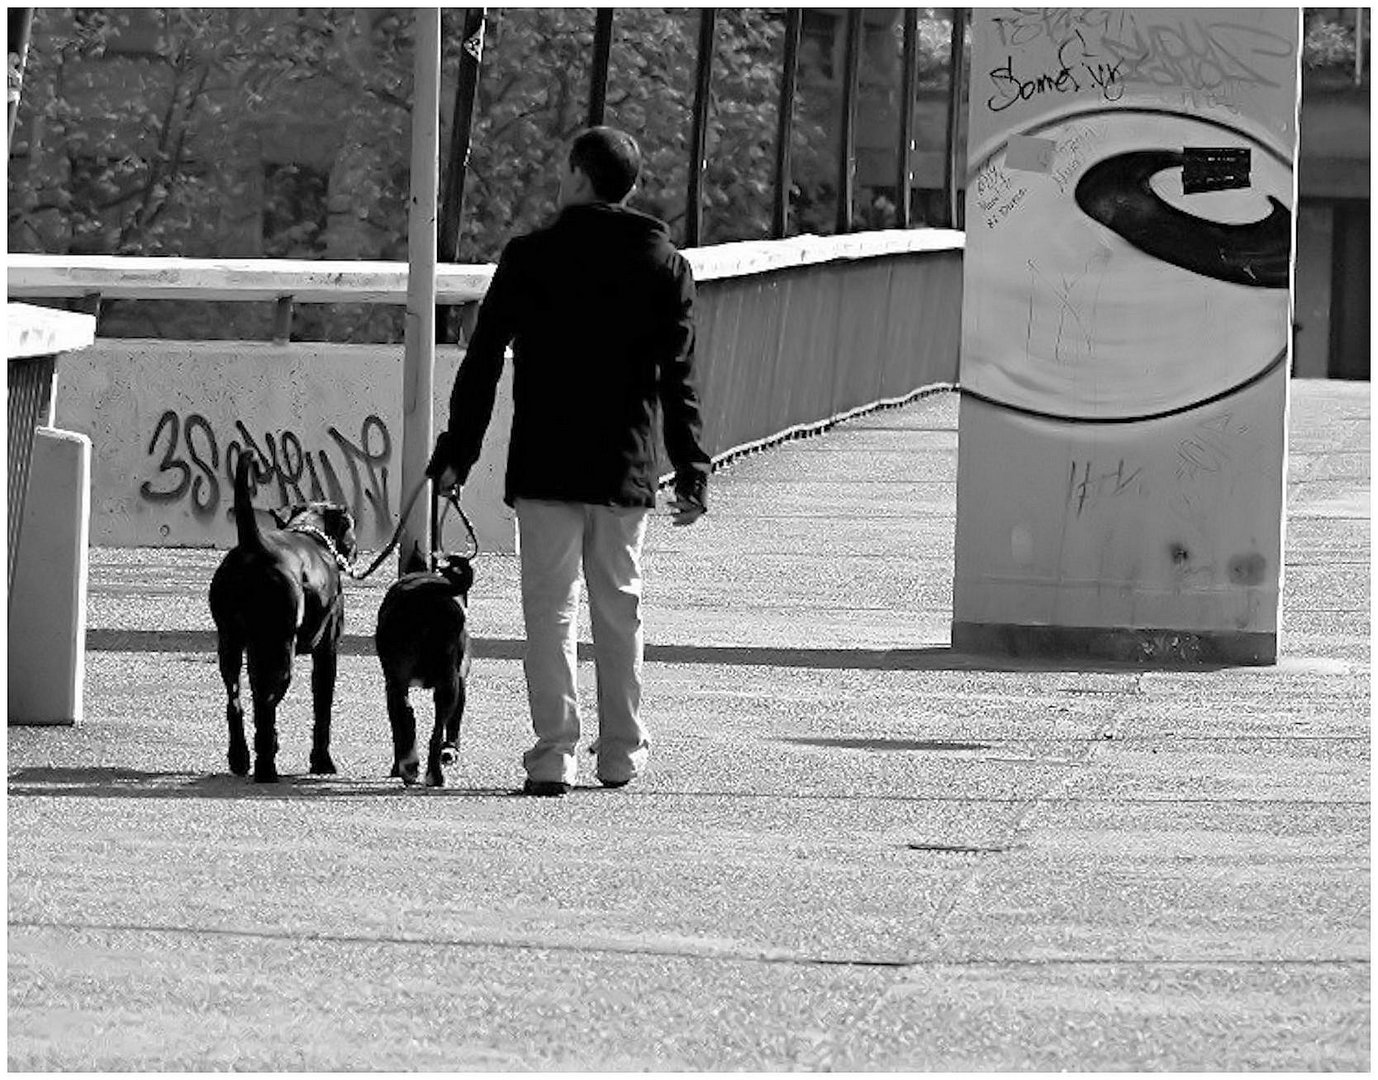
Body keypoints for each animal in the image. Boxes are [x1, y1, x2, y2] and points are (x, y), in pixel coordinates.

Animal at [206, 451, 355, 782]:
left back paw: (240, 759)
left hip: (231, 645)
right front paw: (322, 761)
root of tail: (254, 545)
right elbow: (322, 710)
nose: (353, 549)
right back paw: (266, 766)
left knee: (235, 703)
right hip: (279, 651)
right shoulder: (327, 651)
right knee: (265, 707)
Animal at [374, 545, 476, 787]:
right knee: (433, 731)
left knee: (408, 719)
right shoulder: (460, 682)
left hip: (403, 682)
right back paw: (431, 773)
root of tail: (427, 596)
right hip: (445, 684)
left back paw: (411, 767)